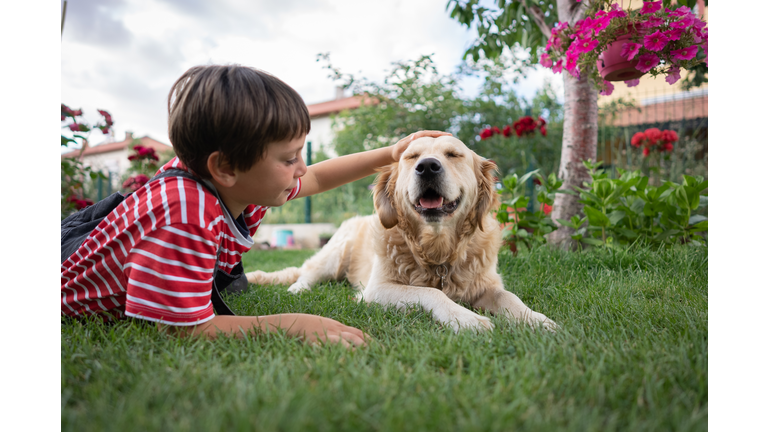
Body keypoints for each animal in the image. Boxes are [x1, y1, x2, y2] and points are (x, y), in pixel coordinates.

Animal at [249, 137, 556, 332]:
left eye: (453, 155)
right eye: (411, 157)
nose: (428, 166)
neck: (437, 251)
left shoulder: (485, 284)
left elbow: (509, 297)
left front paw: (536, 320)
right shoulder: (376, 289)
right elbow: (431, 293)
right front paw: (466, 319)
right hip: (335, 255)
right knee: (306, 273)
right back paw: (298, 289)